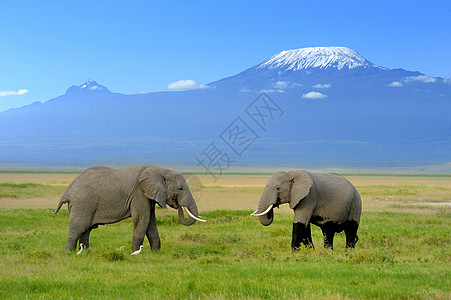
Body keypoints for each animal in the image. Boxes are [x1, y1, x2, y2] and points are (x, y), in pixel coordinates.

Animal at [52, 165, 206, 252]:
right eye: (180, 188)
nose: (177, 204)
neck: (159, 169)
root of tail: (68, 190)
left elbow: (151, 222)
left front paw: (156, 252)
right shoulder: (139, 194)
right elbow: (143, 220)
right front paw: (135, 253)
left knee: (86, 230)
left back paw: (85, 252)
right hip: (82, 203)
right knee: (78, 228)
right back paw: (68, 253)